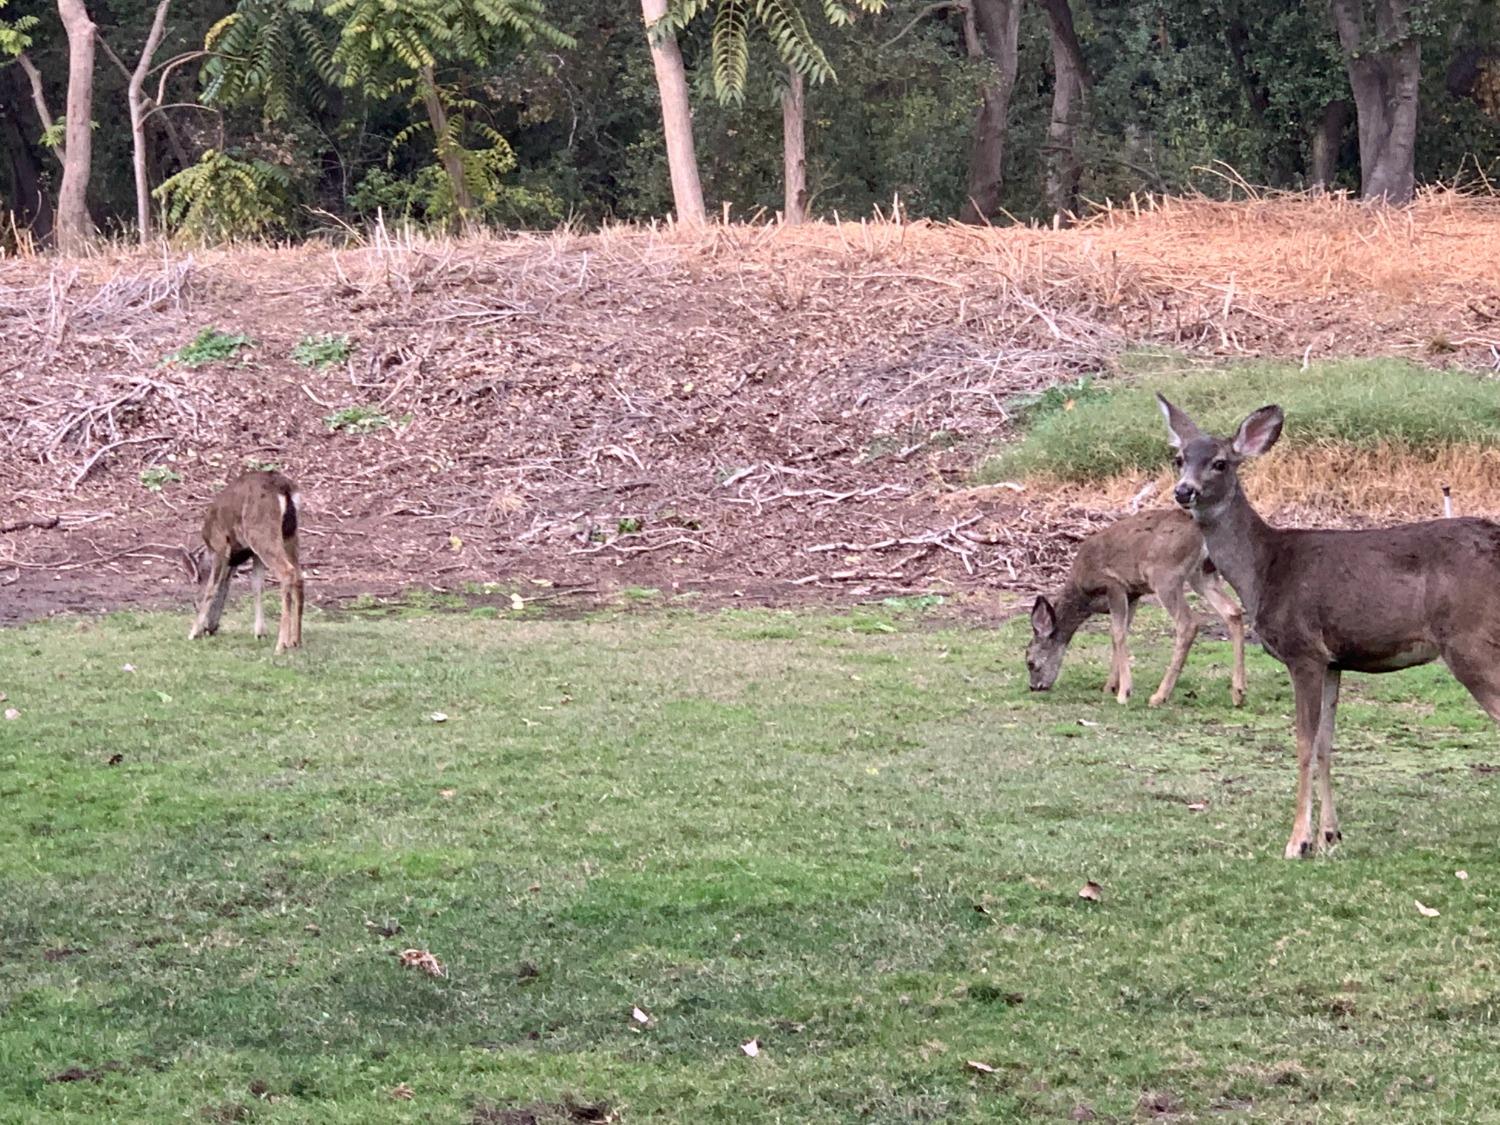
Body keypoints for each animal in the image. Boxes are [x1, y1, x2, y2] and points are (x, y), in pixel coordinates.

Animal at [185, 471, 304, 657]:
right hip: (289, 534)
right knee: (299, 575)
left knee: (287, 571)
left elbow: (212, 587)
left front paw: (193, 632)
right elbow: (256, 585)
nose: (209, 629)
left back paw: (281, 645)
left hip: (260, 531)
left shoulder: (220, 544)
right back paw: (295, 641)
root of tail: (284, 488)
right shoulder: (252, 554)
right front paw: (260, 632)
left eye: (194, 604)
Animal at [1158, 396, 1500, 864]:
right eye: (1179, 459)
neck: (1264, 570)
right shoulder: (1334, 660)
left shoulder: (1303, 650)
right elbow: (1325, 743)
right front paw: (1329, 836)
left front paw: (1296, 841)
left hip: (1470, 640)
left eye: (1220, 463)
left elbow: (1303, 743)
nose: (1184, 491)